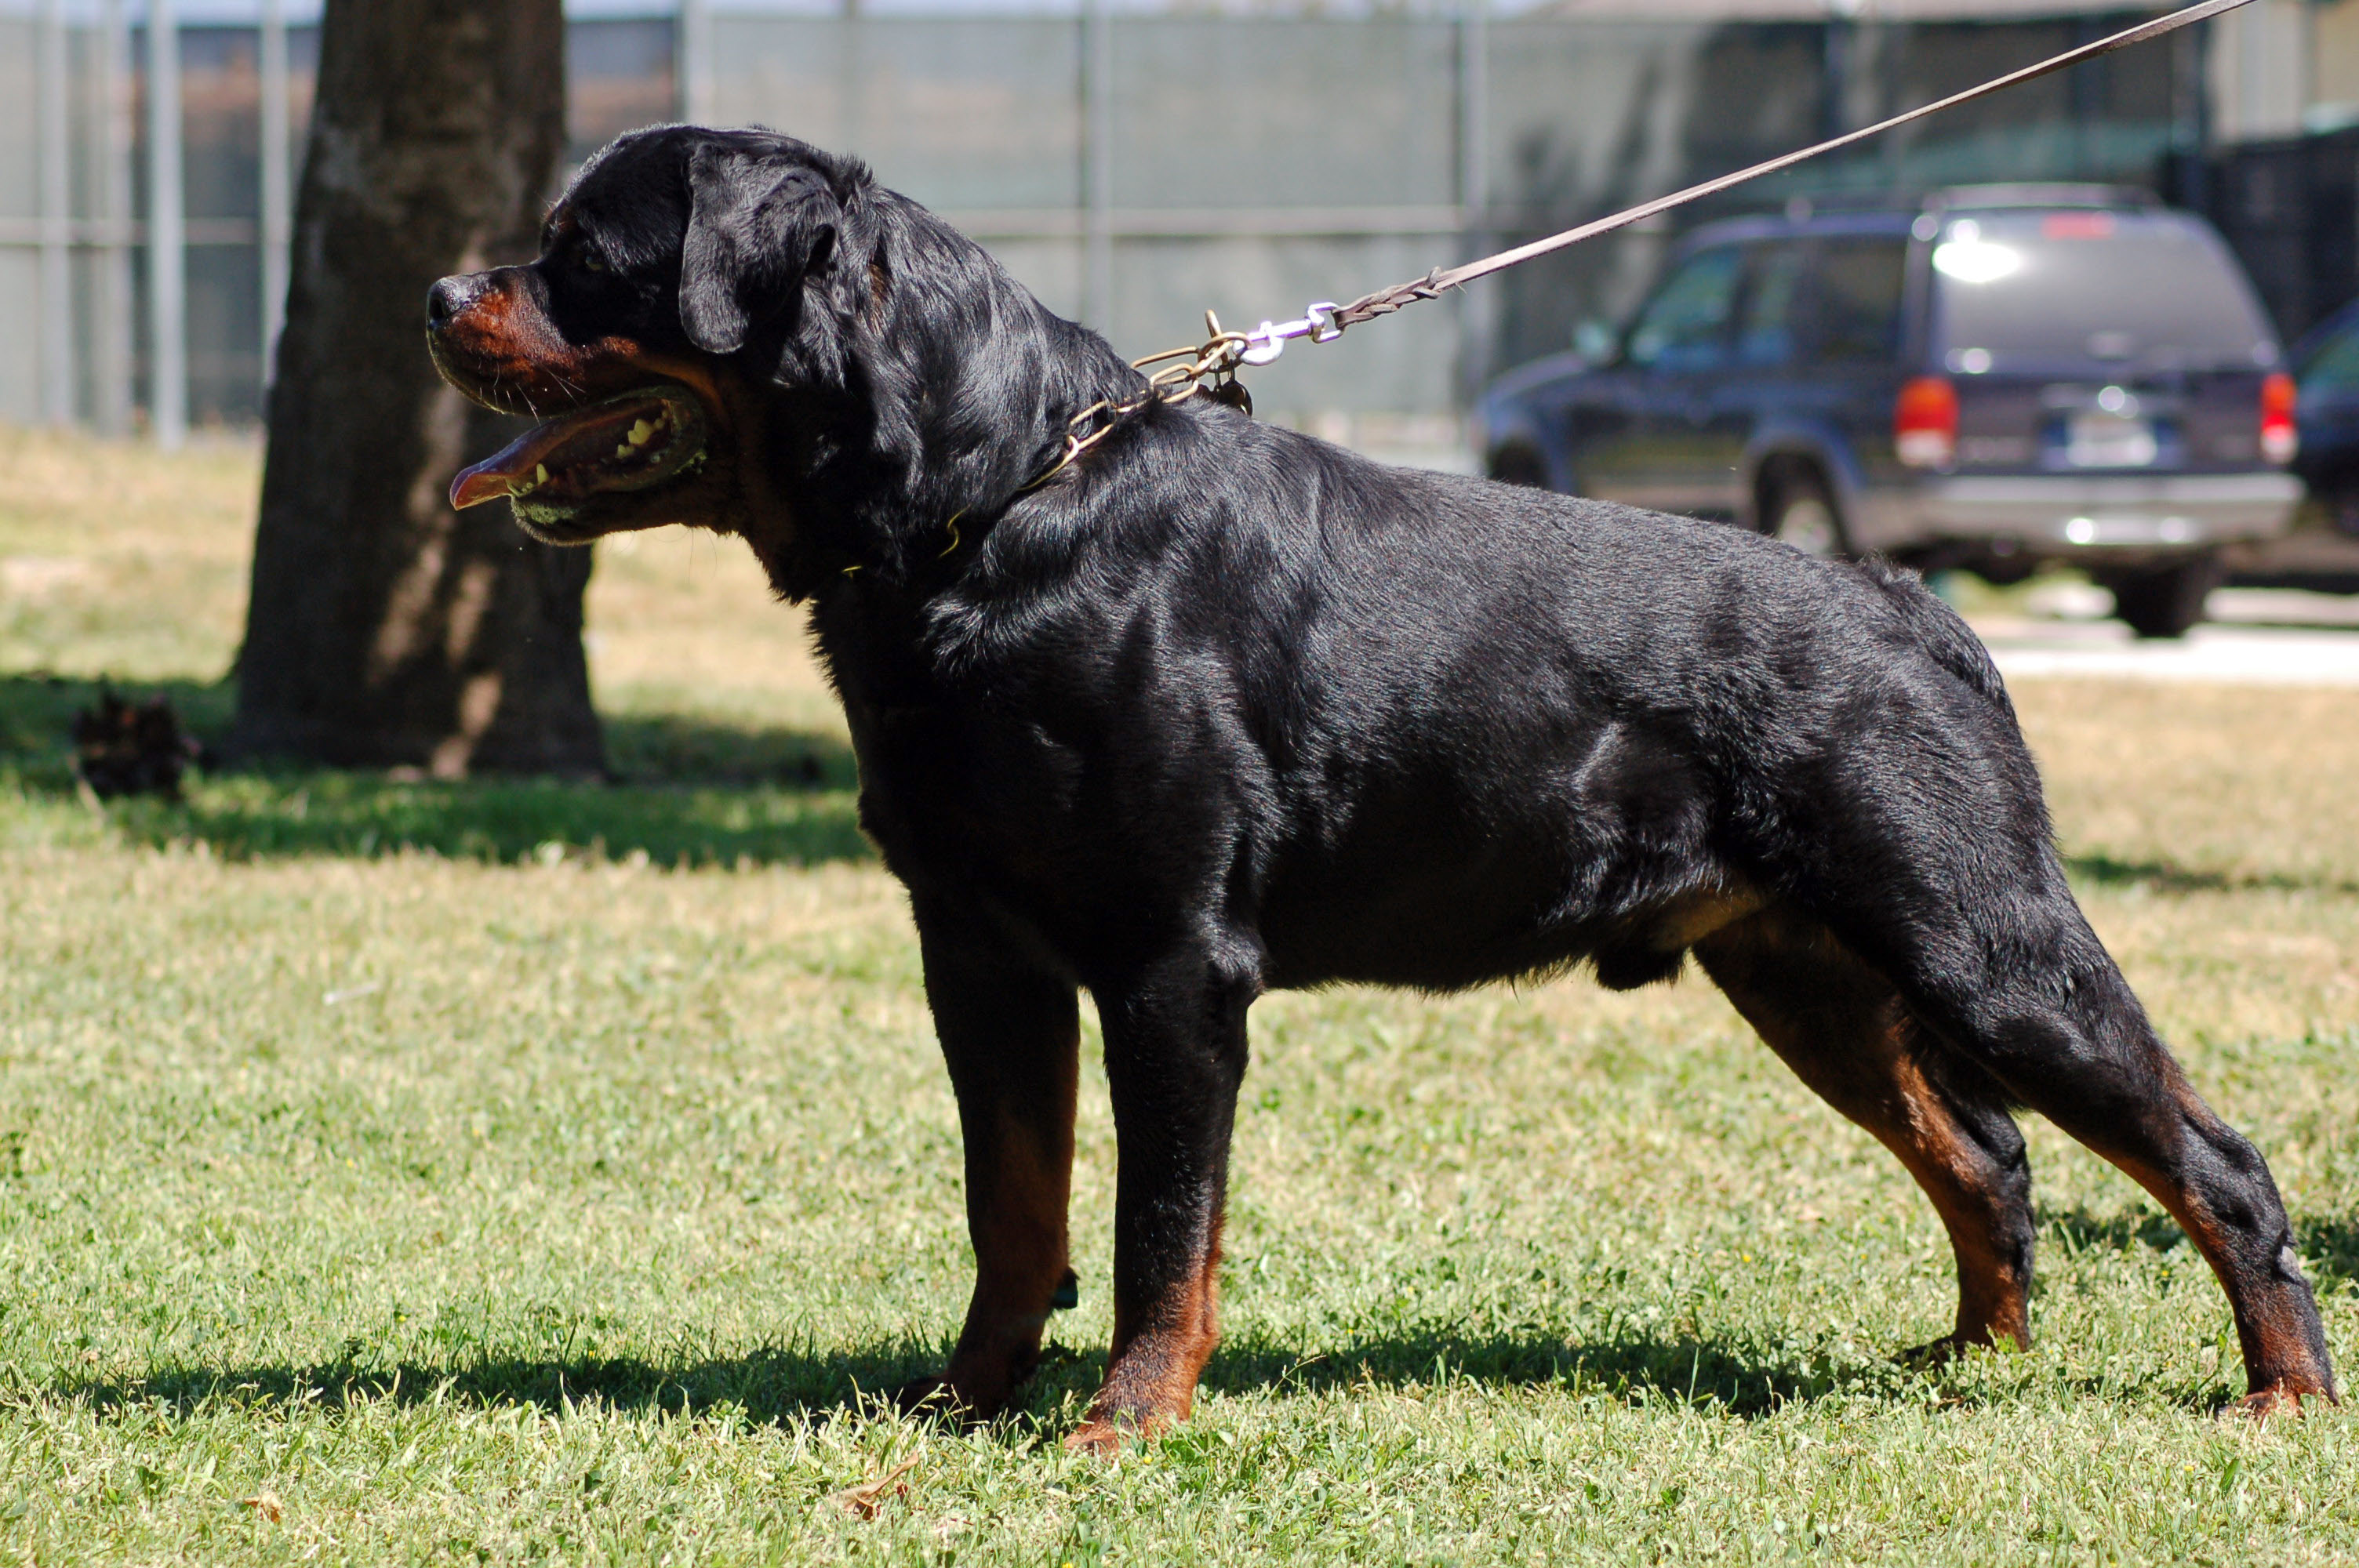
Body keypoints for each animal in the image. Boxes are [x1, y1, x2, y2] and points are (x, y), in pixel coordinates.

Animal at [434, 128, 2330, 1452]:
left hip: (1979, 939)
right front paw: (965, 1399)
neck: (992, 508)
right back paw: (1965, 1365)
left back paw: (2280, 1392)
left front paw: (1122, 1422)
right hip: (1804, 970)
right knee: (1987, 1156)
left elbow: (1157, 1227)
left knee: (2208, 1157)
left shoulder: (1172, 968)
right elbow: (1012, 1201)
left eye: (583, 256)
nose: (442, 299)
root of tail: (1916, 607)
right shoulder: (977, 950)